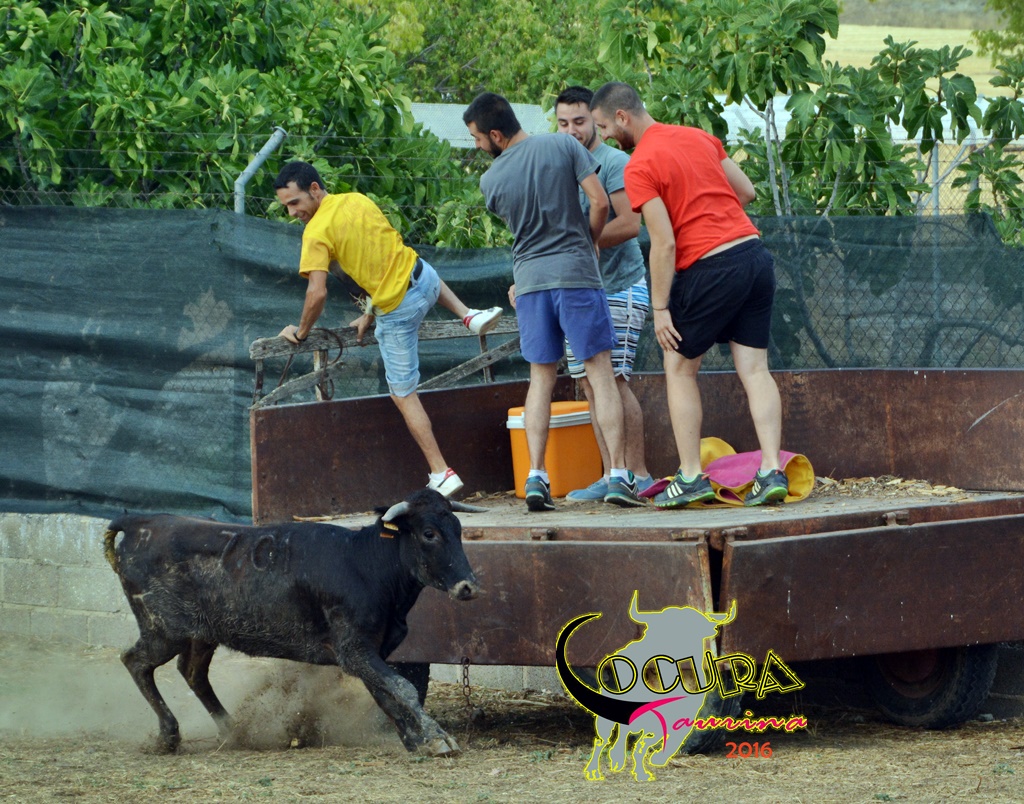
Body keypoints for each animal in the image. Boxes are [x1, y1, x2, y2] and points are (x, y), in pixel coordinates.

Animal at [103, 488, 481, 757]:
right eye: (429, 533)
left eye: (458, 529)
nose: (469, 586)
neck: (366, 563)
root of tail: (139, 523)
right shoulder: (354, 650)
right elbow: (402, 688)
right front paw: (437, 738)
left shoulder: (369, 652)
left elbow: (385, 693)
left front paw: (415, 741)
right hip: (163, 630)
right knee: (135, 661)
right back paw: (169, 735)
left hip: (201, 634)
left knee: (192, 672)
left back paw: (232, 730)